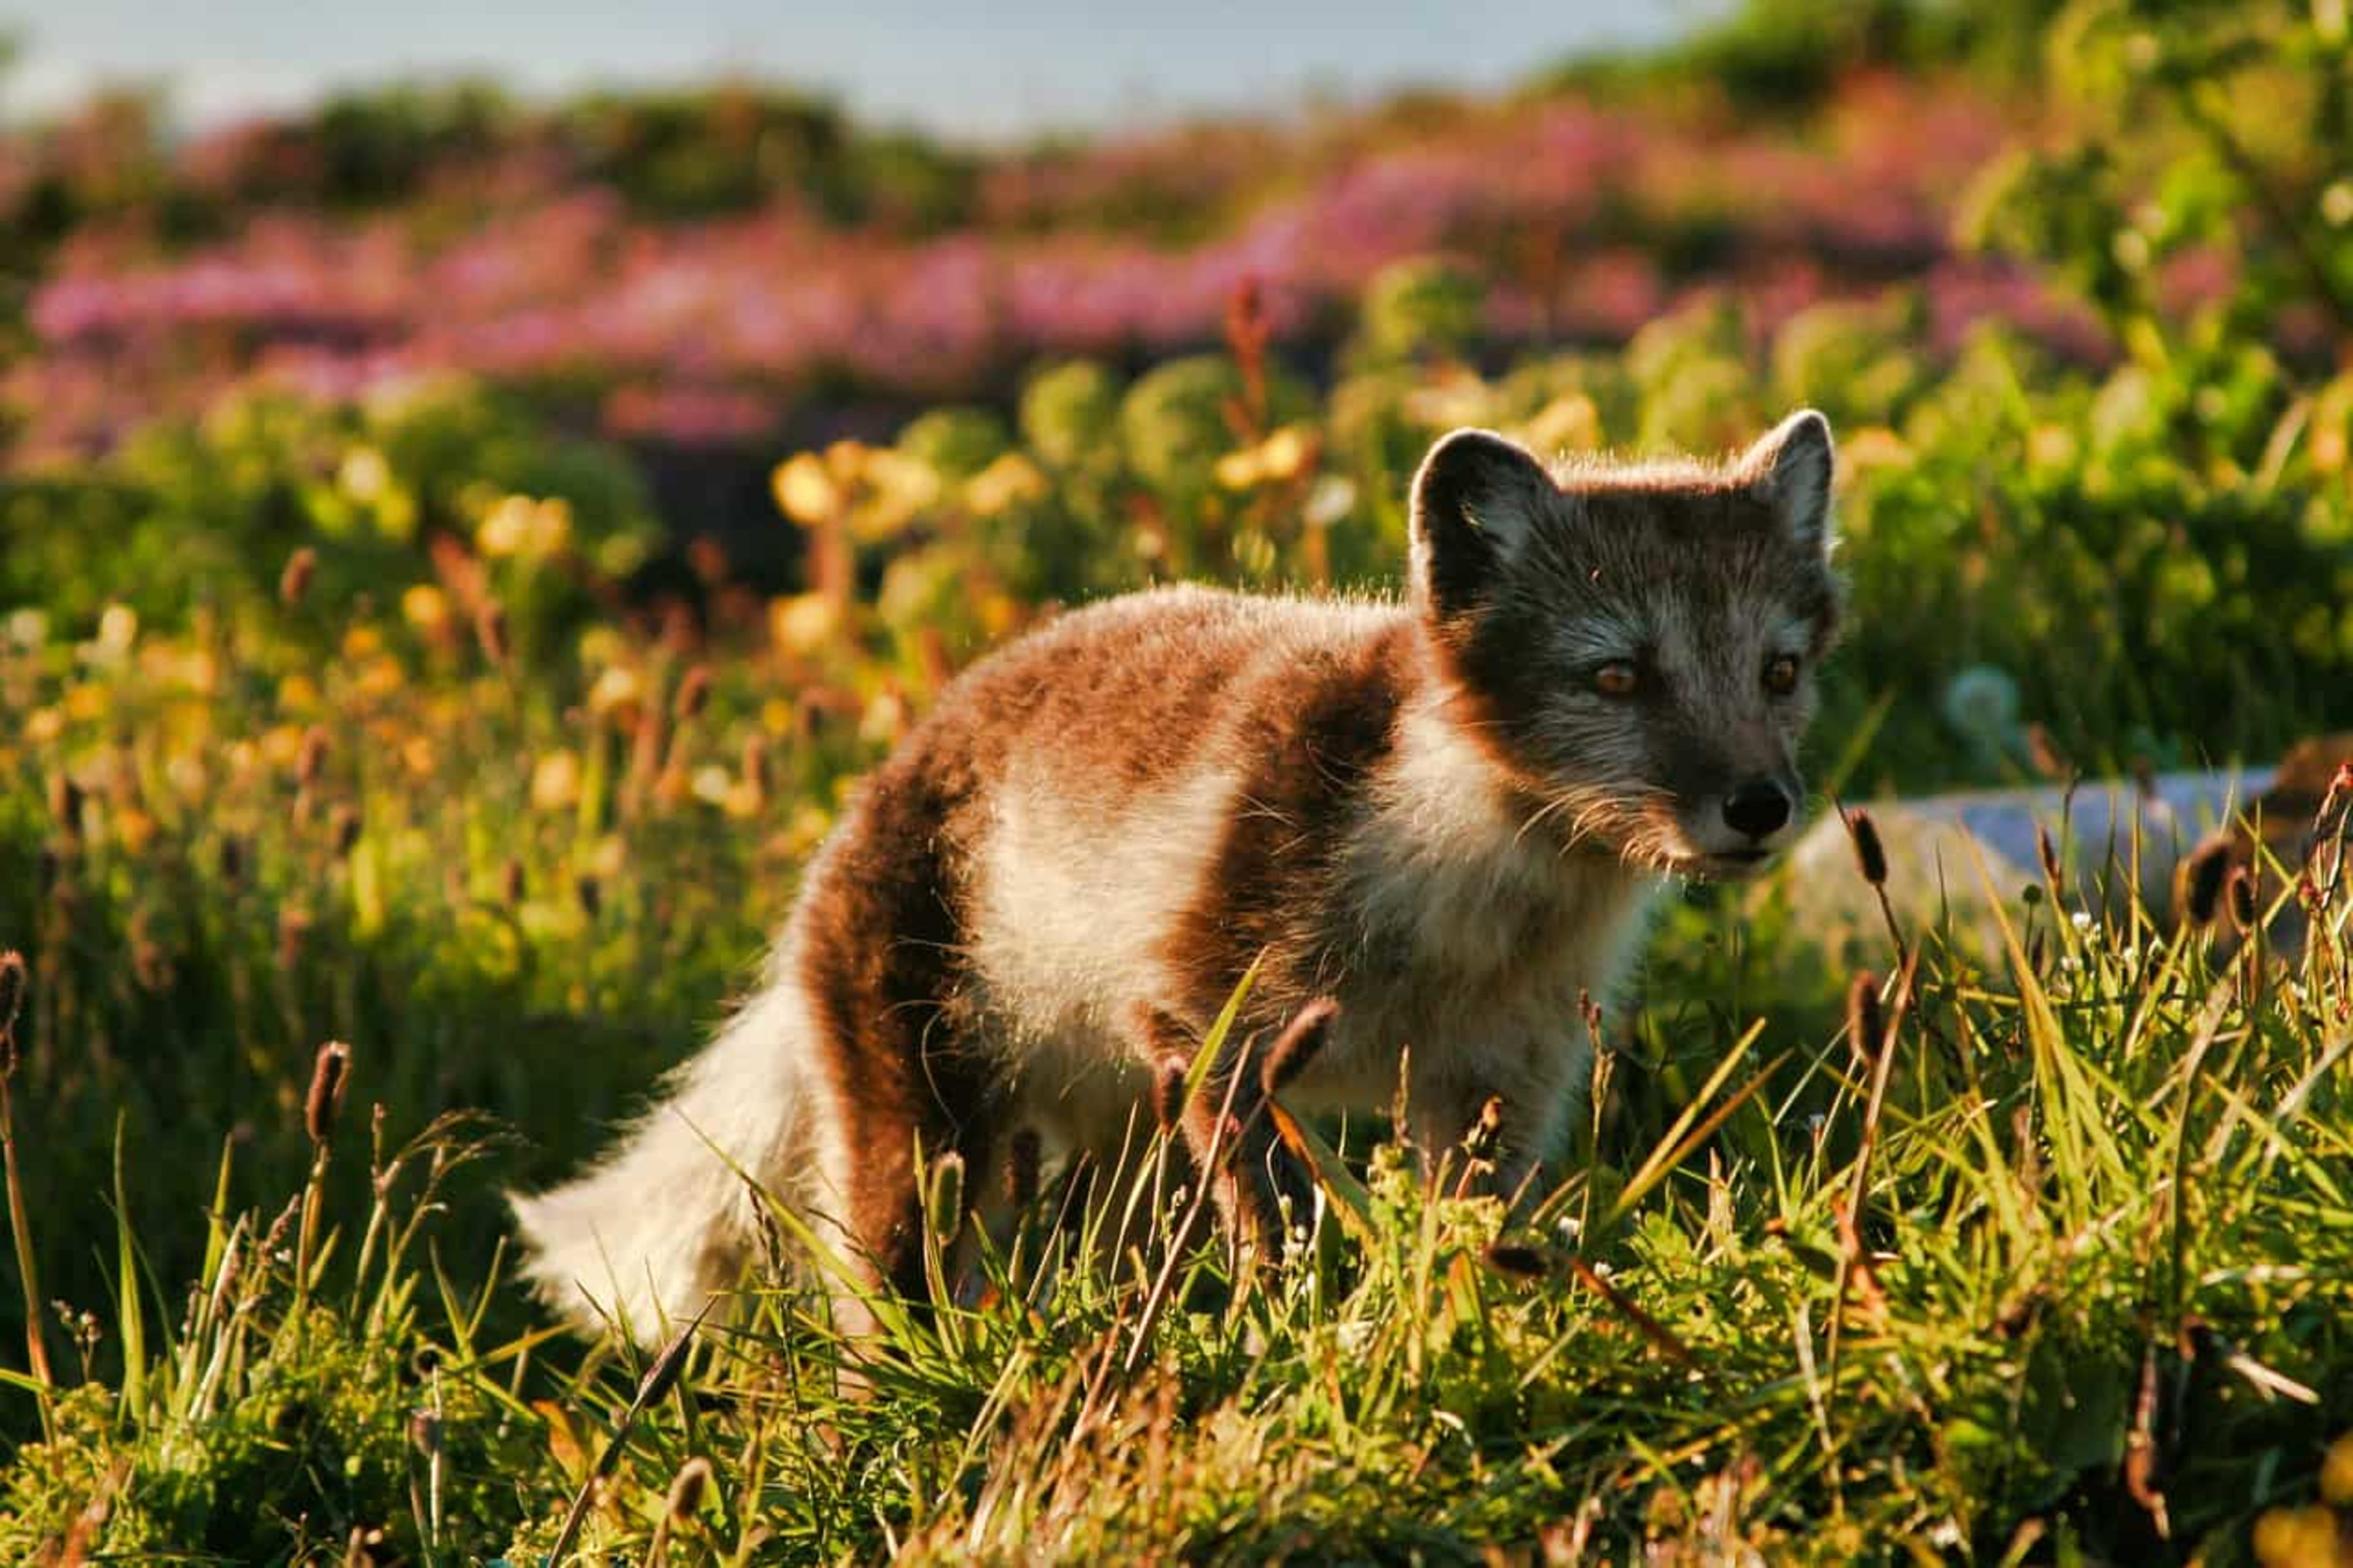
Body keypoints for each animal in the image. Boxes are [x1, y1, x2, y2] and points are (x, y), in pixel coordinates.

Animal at [510, 404, 1835, 1328]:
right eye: (1616, 675)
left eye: (1780, 671)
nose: (1761, 806)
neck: (1467, 904)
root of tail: (881, 781)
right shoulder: (1211, 1020)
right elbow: (1272, 1220)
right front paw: (1283, 1318)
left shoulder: (1499, 1084)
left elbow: (1472, 1226)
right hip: (928, 1133)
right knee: (880, 1304)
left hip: (1104, 1143)